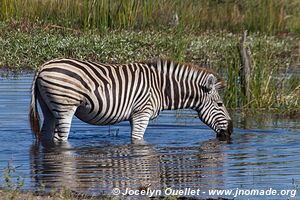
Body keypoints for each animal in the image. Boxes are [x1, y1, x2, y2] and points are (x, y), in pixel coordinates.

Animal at [29, 57, 233, 142]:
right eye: (220, 104)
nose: (231, 131)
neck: (161, 88)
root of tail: (43, 66)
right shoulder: (142, 113)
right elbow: (137, 140)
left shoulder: (134, 115)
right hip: (65, 106)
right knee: (60, 138)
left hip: (48, 107)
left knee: (46, 135)